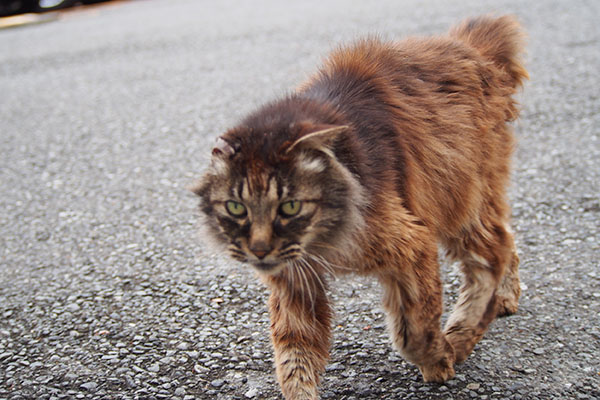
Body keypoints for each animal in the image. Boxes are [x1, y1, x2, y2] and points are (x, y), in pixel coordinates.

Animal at [195, 15, 528, 400]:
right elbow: (294, 357)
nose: (260, 250)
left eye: (290, 206)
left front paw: (439, 361)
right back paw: (506, 297)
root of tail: (471, 47)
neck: (326, 242)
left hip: (460, 199)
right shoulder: (295, 281)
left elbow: (414, 330)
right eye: (236, 208)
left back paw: (461, 337)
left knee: (493, 252)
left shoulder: (411, 242)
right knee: (507, 236)